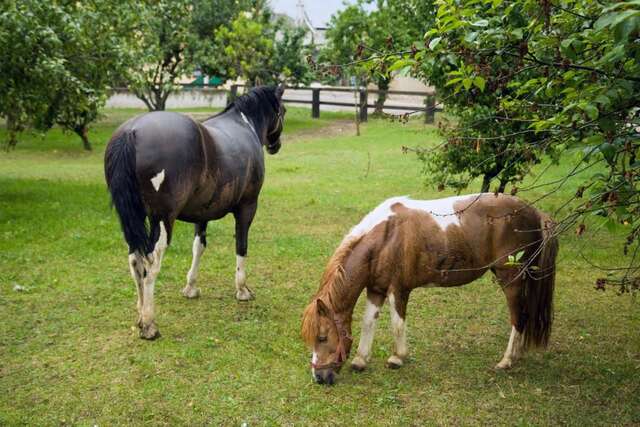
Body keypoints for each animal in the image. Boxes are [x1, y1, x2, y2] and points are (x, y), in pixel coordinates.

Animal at [105, 85, 284, 340]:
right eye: (283, 111)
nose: (275, 145)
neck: (244, 125)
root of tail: (132, 131)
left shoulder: (202, 214)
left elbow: (198, 247)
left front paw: (190, 287)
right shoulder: (247, 207)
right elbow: (241, 246)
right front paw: (242, 290)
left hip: (133, 220)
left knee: (135, 261)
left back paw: (140, 317)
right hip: (161, 221)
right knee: (150, 265)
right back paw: (149, 324)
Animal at [300, 192, 556, 386]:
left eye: (322, 337)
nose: (319, 377)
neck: (385, 237)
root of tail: (535, 213)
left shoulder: (398, 290)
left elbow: (397, 324)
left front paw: (397, 358)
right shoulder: (376, 290)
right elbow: (368, 322)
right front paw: (361, 360)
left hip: (511, 279)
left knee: (518, 317)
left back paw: (507, 360)